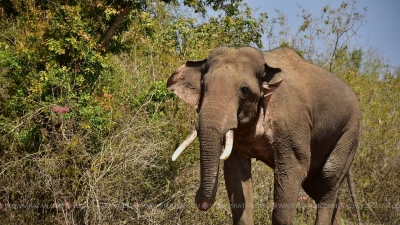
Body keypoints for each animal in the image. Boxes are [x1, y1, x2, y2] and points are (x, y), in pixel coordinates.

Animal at [167, 46, 360, 224]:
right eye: (203, 86)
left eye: (244, 90)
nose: (199, 199)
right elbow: (236, 175)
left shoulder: (291, 124)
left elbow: (294, 168)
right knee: (317, 187)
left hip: (349, 132)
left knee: (327, 180)